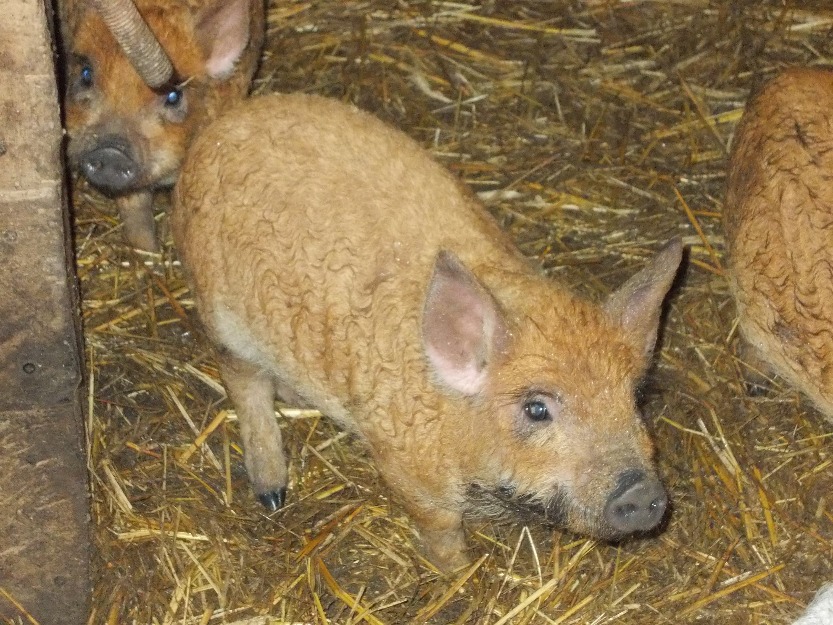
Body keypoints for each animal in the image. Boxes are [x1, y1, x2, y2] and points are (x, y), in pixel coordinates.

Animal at [171, 94, 684, 572]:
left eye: (635, 396)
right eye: (537, 408)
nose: (641, 492)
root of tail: (222, 124)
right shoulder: (405, 464)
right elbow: (438, 524)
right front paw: (459, 572)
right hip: (219, 309)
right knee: (244, 381)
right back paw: (274, 493)